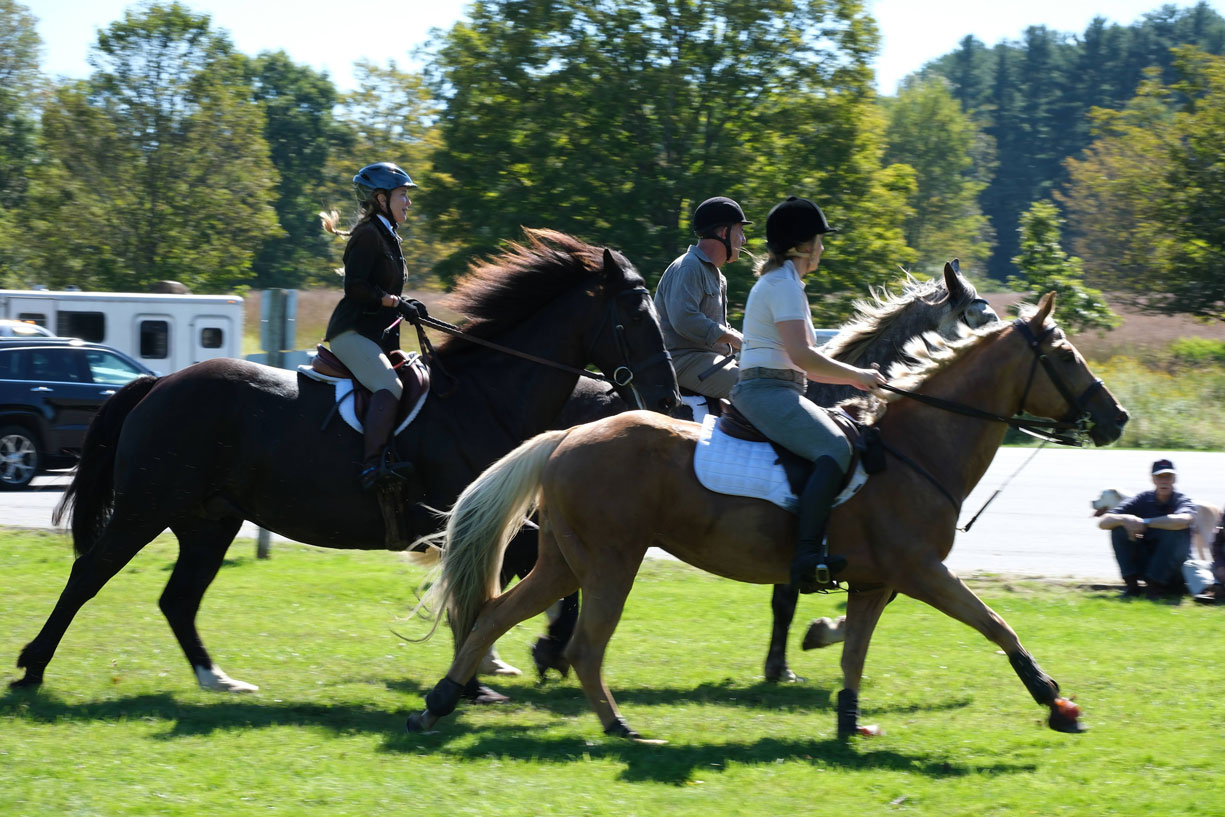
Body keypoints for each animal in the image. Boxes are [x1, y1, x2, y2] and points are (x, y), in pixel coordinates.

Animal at [9, 230, 681, 695]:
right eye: (636, 312)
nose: (670, 398)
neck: (486, 396)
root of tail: (159, 384)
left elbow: (520, 583)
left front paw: (520, 658)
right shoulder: (467, 520)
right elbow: (497, 589)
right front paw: (504, 666)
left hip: (209, 521)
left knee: (178, 598)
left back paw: (217, 679)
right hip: (147, 506)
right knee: (89, 574)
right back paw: (31, 668)